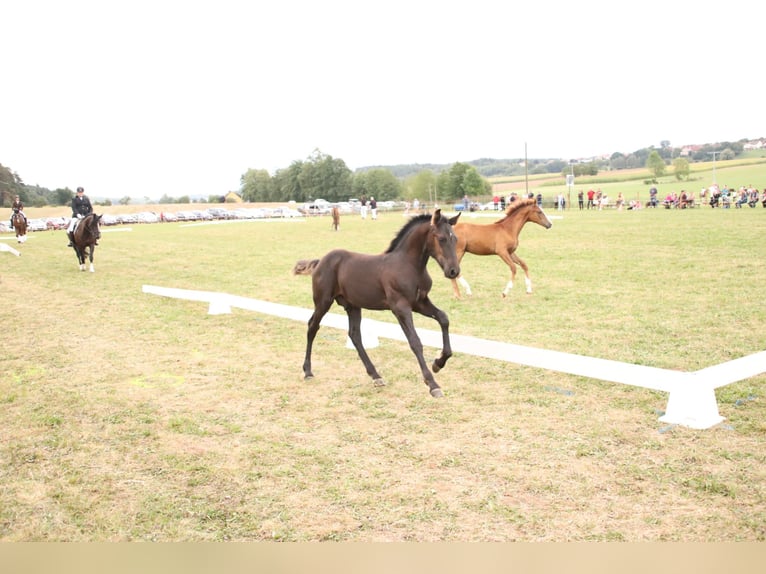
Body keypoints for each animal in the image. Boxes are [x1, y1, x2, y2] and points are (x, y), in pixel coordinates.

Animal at [294, 209, 462, 398]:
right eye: (441, 238)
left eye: (455, 238)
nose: (454, 271)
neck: (409, 265)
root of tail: (320, 262)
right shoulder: (400, 307)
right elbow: (415, 341)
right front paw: (433, 384)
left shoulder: (420, 303)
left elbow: (443, 318)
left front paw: (438, 363)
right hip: (323, 301)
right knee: (312, 327)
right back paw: (308, 371)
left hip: (353, 306)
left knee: (354, 335)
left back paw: (376, 376)